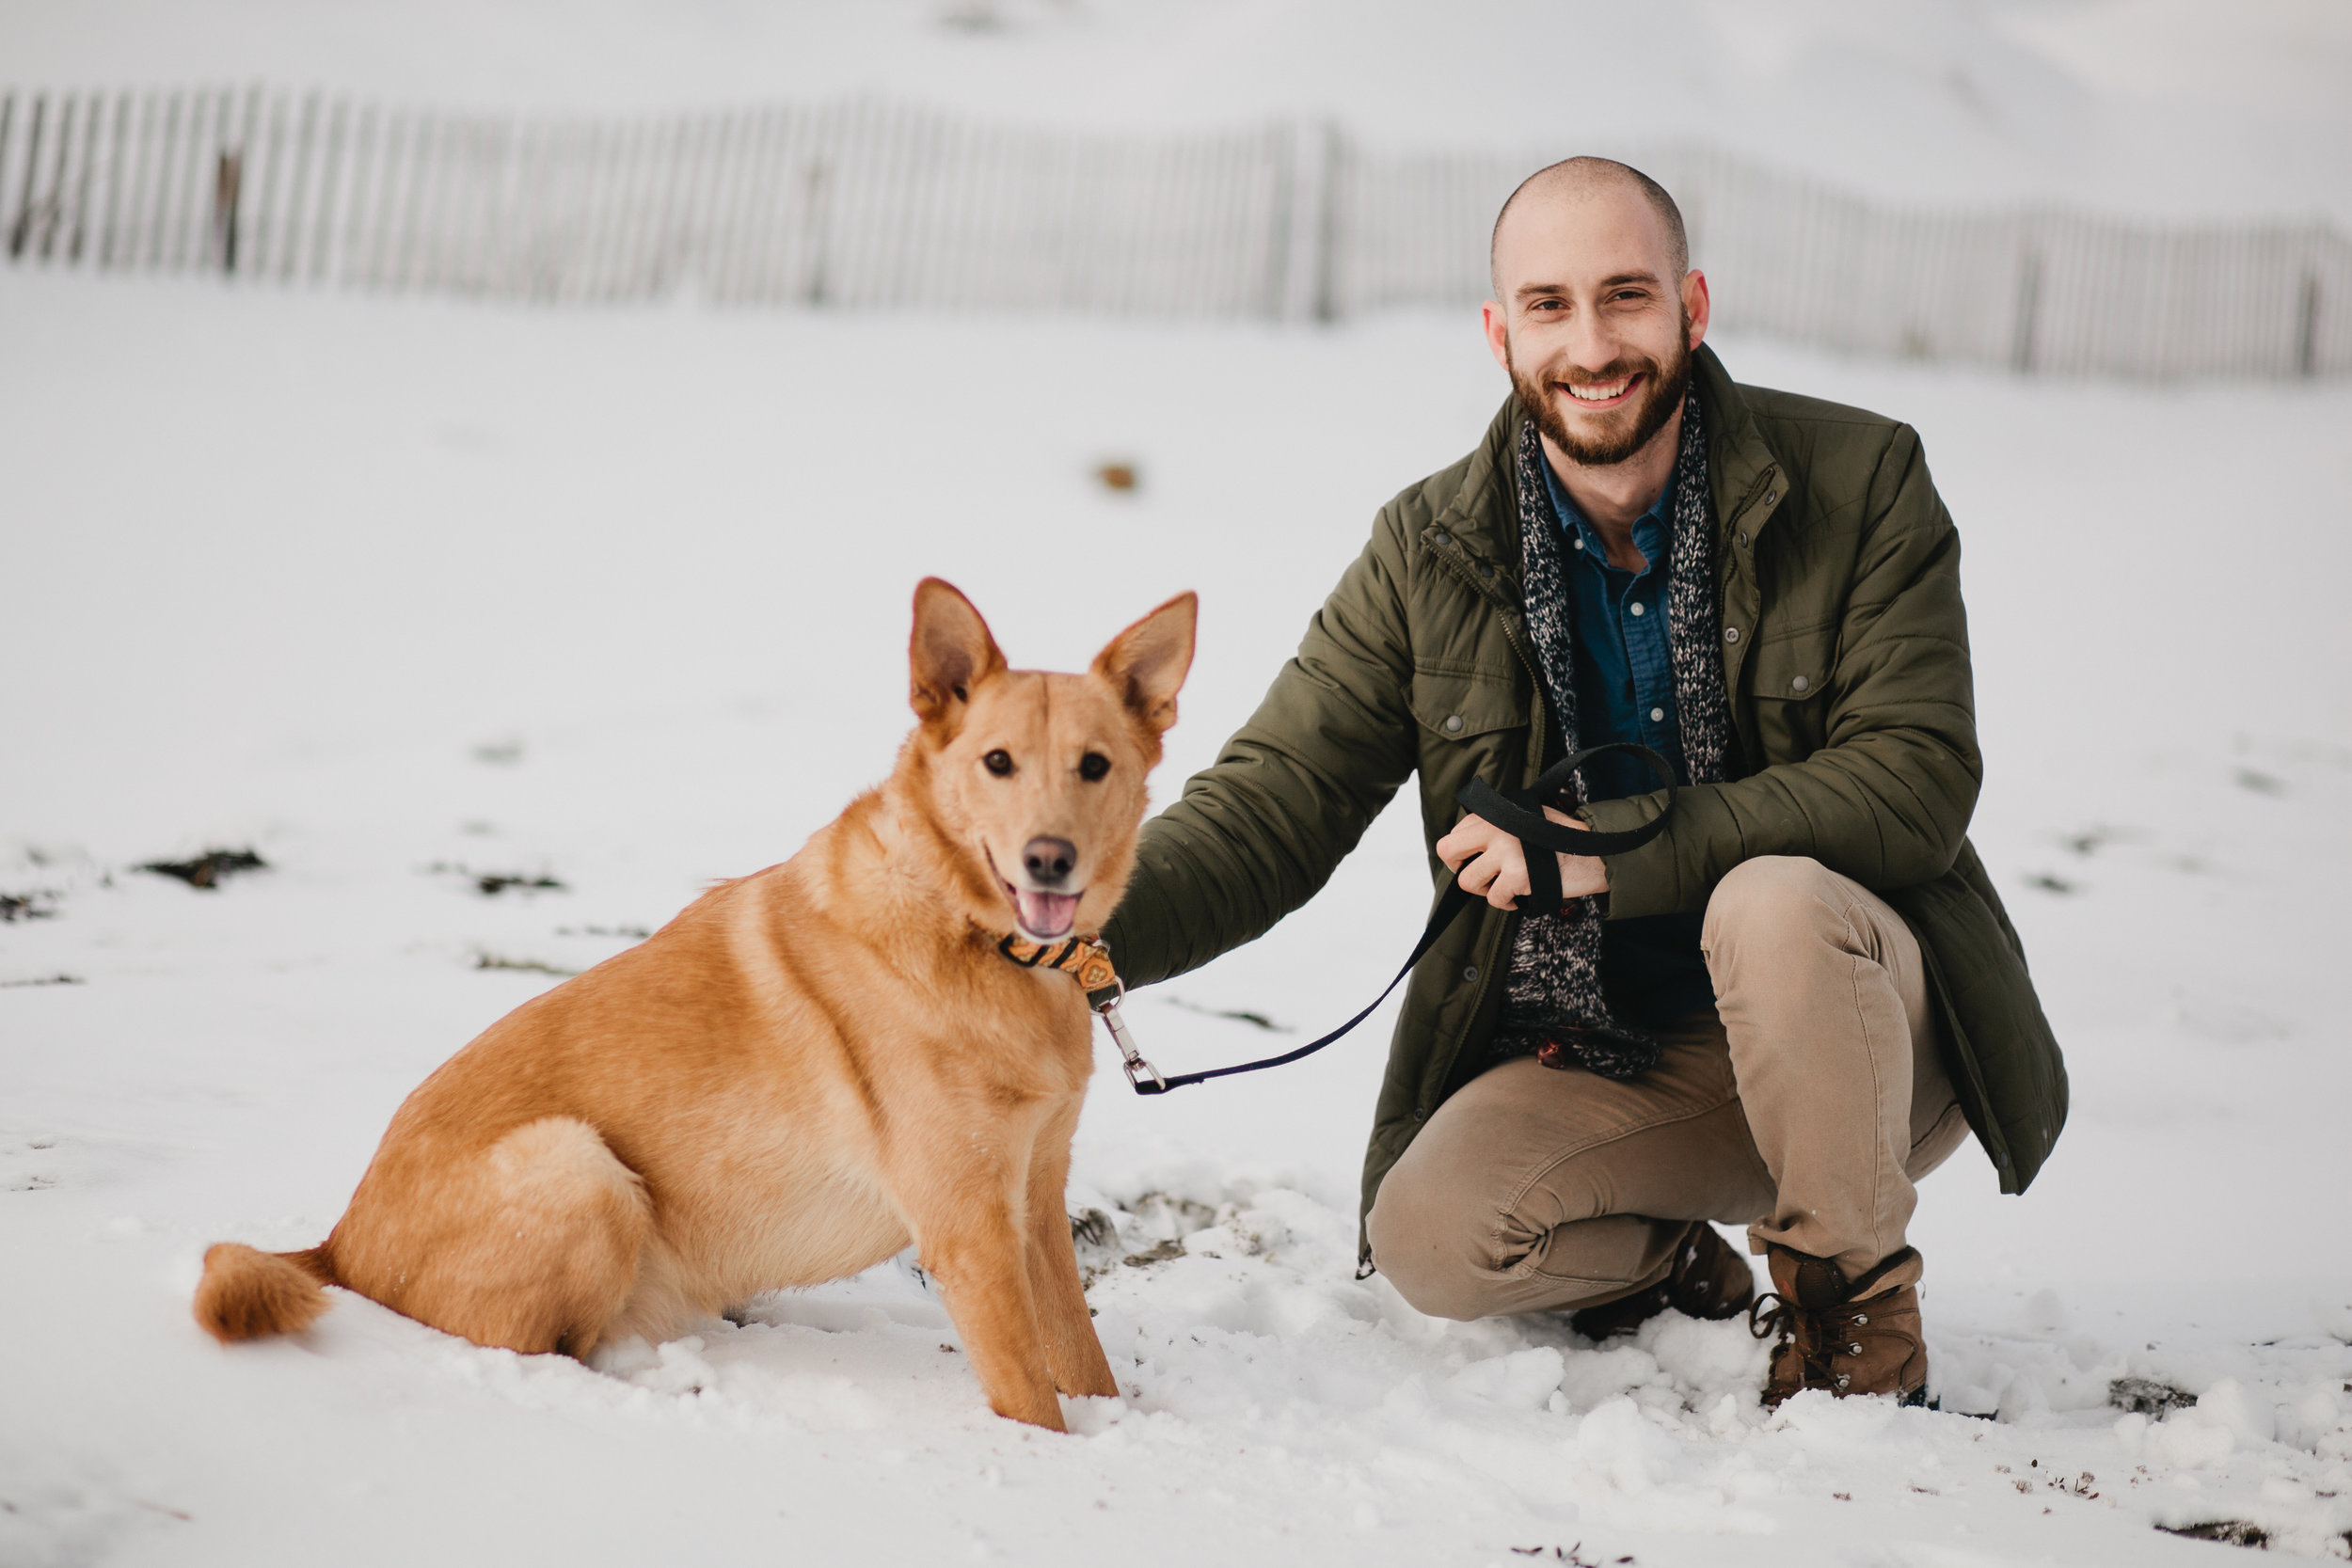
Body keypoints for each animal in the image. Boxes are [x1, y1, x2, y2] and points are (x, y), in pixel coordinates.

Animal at [188, 580, 1195, 1438]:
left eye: (1094, 766)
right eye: (997, 763)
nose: (1049, 859)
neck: (972, 930)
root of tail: (337, 1244)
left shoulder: (1036, 1196)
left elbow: (1083, 1361)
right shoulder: (970, 1228)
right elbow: (1033, 1398)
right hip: (580, 1168)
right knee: (540, 1349)